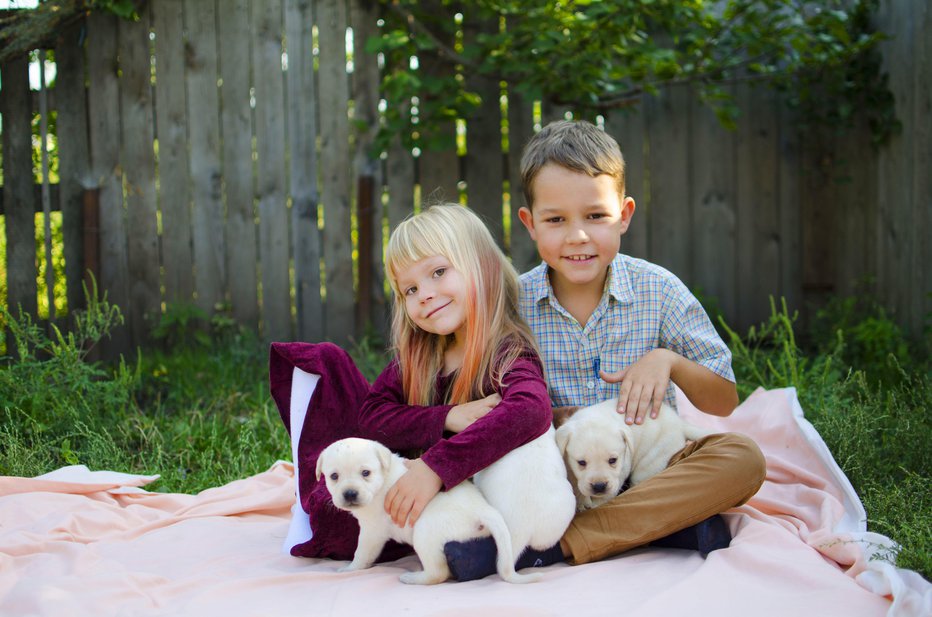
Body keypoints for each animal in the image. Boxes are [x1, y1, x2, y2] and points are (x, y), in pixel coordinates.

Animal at [316, 436, 540, 584]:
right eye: (334, 476)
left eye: (366, 473)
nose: (350, 494)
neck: (383, 481)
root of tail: (482, 509)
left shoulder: (371, 532)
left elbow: (361, 553)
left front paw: (350, 568)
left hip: (424, 534)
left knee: (437, 573)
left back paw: (413, 578)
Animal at [552, 400, 708, 510]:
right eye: (581, 462)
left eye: (613, 460)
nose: (599, 486)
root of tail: (680, 424)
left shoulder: (621, 470)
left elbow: (603, 497)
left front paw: (593, 503)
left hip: (650, 462)